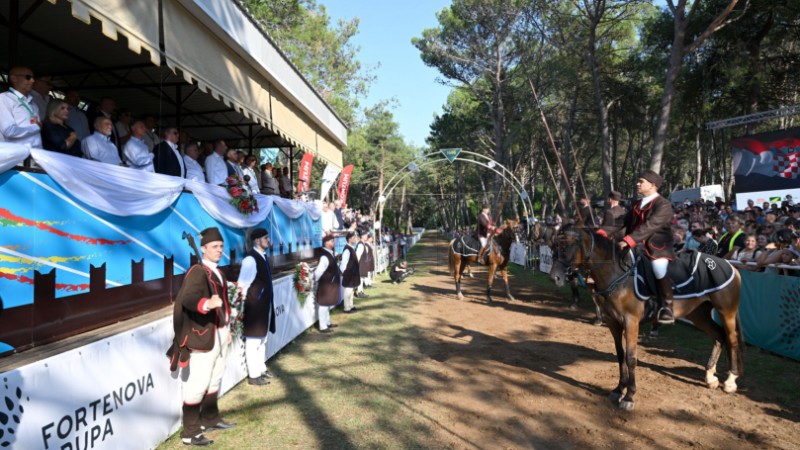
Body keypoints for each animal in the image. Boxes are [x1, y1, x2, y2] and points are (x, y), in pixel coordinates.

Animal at [552, 229, 744, 412]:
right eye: (553, 247)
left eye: (566, 247)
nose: (555, 277)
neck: (618, 275)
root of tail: (730, 266)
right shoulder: (613, 322)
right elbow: (620, 355)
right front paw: (618, 390)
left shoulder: (631, 322)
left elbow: (631, 358)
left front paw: (629, 397)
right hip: (698, 314)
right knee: (718, 336)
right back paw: (710, 377)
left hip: (726, 312)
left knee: (731, 339)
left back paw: (730, 381)